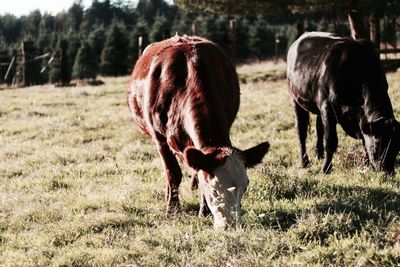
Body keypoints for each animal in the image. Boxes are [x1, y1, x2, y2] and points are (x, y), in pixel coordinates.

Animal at [128, 34, 268, 229]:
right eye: (214, 188)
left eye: (246, 186)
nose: (231, 225)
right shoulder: (159, 138)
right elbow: (173, 174)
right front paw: (172, 211)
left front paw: (204, 212)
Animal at [288, 31, 400, 174]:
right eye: (377, 147)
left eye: (396, 148)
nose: (387, 170)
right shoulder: (327, 107)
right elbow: (330, 141)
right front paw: (326, 168)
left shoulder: (359, 117)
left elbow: (363, 139)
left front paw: (366, 165)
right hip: (296, 100)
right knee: (301, 132)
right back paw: (304, 161)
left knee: (319, 128)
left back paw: (319, 154)